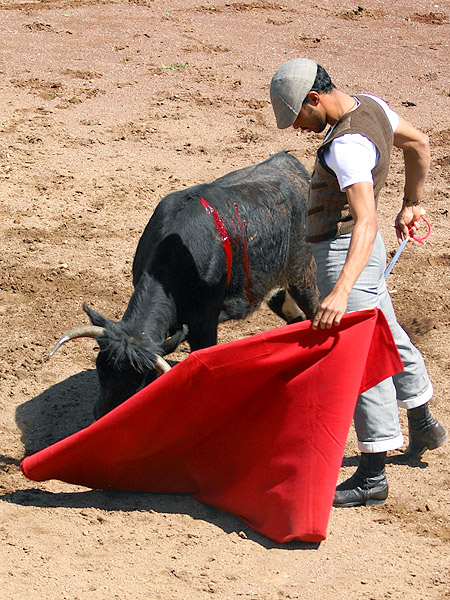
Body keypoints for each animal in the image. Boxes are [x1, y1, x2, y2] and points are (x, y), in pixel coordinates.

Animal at [51, 152, 320, 420]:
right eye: (99, 366)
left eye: (141, 378)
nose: (103, 415)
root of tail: (289, 163)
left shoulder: (205, 325)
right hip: (273, 288)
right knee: (295, 319)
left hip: (302, 275)